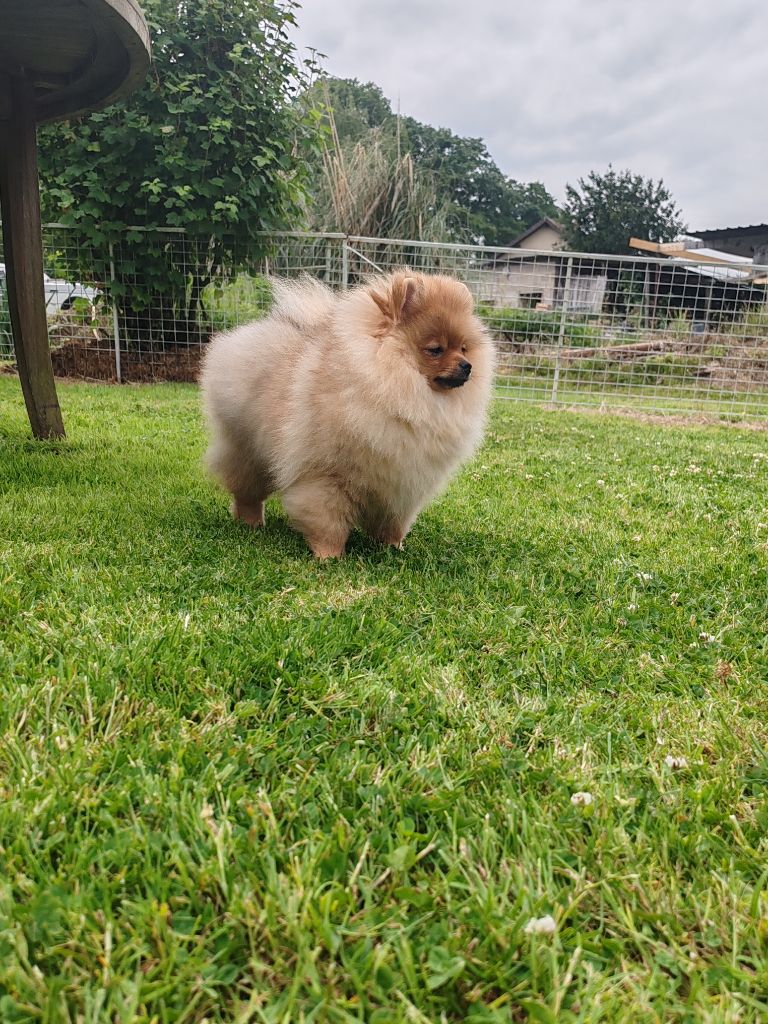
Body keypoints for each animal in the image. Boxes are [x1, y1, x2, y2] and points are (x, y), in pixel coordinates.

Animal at [200, 271, 495, 558]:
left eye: (464, 348)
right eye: (435, 350)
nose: (467, 366)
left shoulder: (402, 486)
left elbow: (393, 523)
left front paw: (393, 548)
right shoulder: (326, 477)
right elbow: (328, 521)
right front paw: (328, 556)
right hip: (248, 451)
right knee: (247, 492)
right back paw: (251, 522)